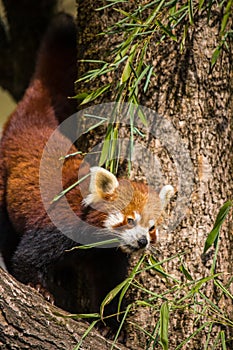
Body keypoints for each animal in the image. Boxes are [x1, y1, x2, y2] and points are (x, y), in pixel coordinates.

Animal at [0, 13, 173, 320]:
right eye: (130, 220)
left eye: (152, 227)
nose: (143, 241)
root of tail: (32, 124)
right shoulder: (57, 226)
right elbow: (26, 258)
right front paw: (40, 289)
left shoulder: (107, 255)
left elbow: (109, 287)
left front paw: (110, 322)